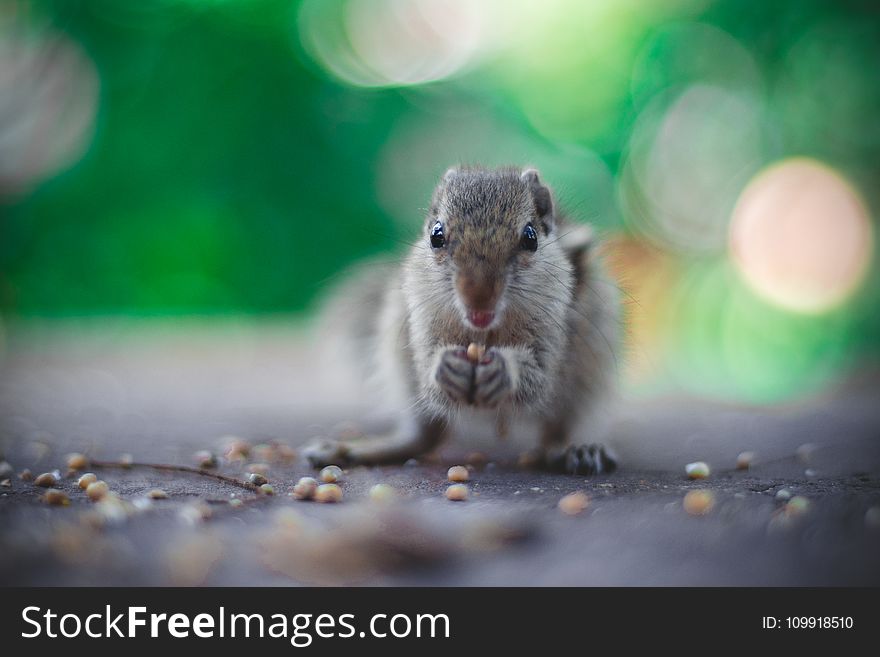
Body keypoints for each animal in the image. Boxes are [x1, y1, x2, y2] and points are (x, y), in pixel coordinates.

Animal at [302, 164, 620, 472]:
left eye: (530, 237)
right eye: (436, 235)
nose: (478, 296)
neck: (484, 334)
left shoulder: (554, 332)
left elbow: (539, 377)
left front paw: (505, 371)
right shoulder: (420, 324)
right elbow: (429, 373)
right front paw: (446, 367)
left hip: (586, 372)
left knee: (559, 429)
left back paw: (576, 449)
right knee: (424, 436)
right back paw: (357, 449)